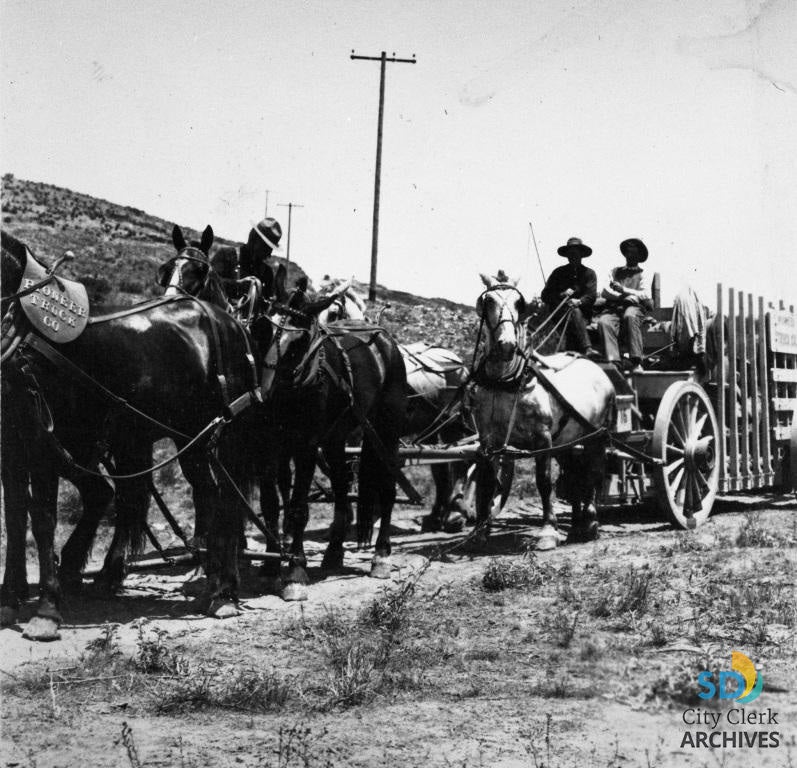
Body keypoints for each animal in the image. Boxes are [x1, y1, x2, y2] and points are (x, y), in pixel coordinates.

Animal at [0, 231, 262, 640]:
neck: (24, 335)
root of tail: (231, 323)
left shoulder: (43, 444)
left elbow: (42, 520)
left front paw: (46, 610)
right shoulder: (11, 446)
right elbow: (15, 517)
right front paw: (9, 599)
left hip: (218, 433)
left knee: (225, 499)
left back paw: (221, 593)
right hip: (189, 439)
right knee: (209, 495)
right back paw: (215, 584)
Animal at [258, 266, 408, 600]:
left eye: (299, 340)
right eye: (264, 327)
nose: (265, 392)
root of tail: (385, 339)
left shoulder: (305, 447)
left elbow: (298, 509)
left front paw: (295, 572)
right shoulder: (271, 447)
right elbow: (271, 505)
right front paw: (270, 566)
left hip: (386, 430)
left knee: (387, 487)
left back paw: (381, 555)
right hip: (335, 440)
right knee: (341, 489)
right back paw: (334, 552)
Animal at [472, 272, 616, 548]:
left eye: (519, 303)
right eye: (488, 301)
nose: (507, 345)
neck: (507, 382)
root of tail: (597, 368)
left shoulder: (542, 437)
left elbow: (544, 481)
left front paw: (548, 530)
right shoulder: (488, 440)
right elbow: (487, 481)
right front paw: (480, 530)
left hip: (595, 436)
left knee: (594, 472)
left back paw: (591, 521)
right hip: (569, 440)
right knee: (575, 476)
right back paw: (576, 525)